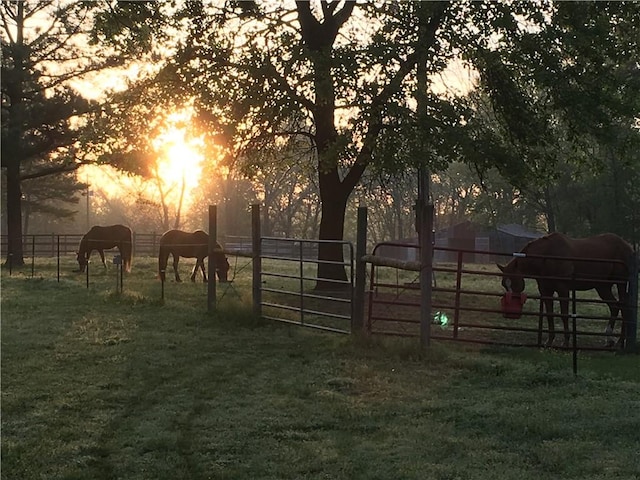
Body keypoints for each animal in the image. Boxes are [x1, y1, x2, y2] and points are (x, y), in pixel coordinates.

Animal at [498, 233, 632, 348]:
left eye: (515, 282)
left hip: (620, 284)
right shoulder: (546, 291)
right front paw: (549, 341)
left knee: (624, 309)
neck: (547, 256)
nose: (511, 304)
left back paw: (620, 341)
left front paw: (566, 342)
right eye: (504, 284)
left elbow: (564, 315)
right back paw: (610, 340)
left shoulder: (563, 290)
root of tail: (627, 245)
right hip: (602, 287)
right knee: (614, 307)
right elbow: (549, 315)